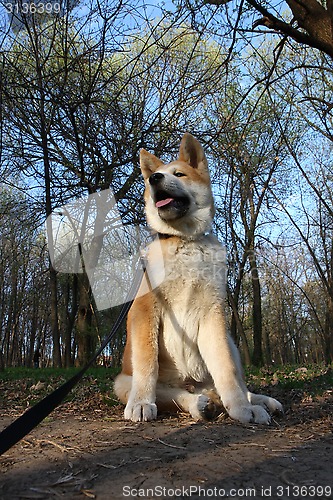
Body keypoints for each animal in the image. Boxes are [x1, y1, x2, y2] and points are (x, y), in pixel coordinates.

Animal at [113, 135, 280, 424]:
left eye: (179, 174)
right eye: (153, 177)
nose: (154, 178)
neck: (185, 240)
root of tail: (194, 385)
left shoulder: (213, 314)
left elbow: (225, 370)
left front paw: (242, 408)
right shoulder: (145, 309)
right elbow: (147, 363)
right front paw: (142, 403)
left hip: (231, 344)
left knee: (232, 383)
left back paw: (259, 401)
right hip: (122, 382)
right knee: (171, 395)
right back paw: (198, 405)